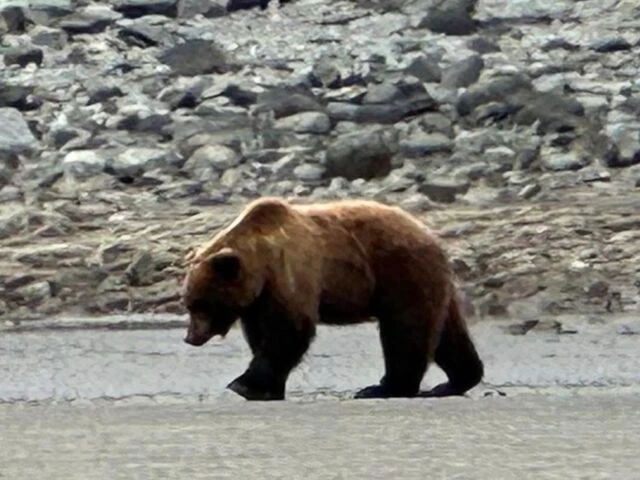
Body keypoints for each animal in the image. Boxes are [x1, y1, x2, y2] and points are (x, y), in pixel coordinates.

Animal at [181, 196, 484, 401]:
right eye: (189, 304)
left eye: (200, 304)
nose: (190, 337)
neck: (260, 263)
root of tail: (430, 235)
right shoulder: (260, 299)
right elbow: (262, 336)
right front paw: (266, 388)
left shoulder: (293, 272)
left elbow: (289, 331)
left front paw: (245, 385)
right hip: (429, 283)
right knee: (447, 332)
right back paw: (454, 382)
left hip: (400, 273)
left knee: (406, 329)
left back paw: (384, 388)